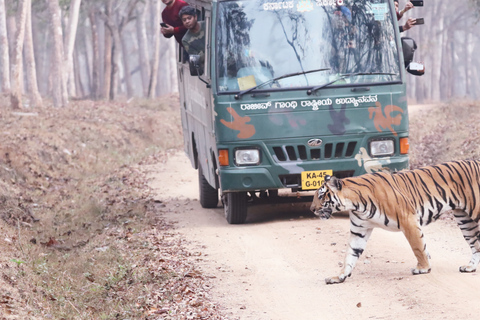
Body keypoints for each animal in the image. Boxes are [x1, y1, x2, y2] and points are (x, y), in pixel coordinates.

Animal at [310, 161, 480, 284]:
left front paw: (423, 268)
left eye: (321, 196)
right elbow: (350, 255)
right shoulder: (359, 230)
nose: (312, 209)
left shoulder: (408, 219)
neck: (355, 204)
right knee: (476, 245)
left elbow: (418, 247)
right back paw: (470, 267)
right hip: (465, 220)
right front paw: (339, 276)